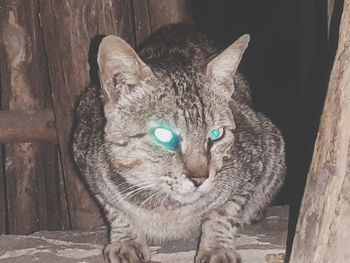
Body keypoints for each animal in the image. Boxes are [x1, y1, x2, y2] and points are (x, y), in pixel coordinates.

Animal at [72, 25, 286, 263]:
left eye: (216, 134)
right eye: (163, 135)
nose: (200, 179)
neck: (167, 206)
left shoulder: (254, 158)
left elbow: (223, 212)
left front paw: (216, 247)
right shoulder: (86, 158)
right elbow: (116, 210)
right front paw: (126, 241)